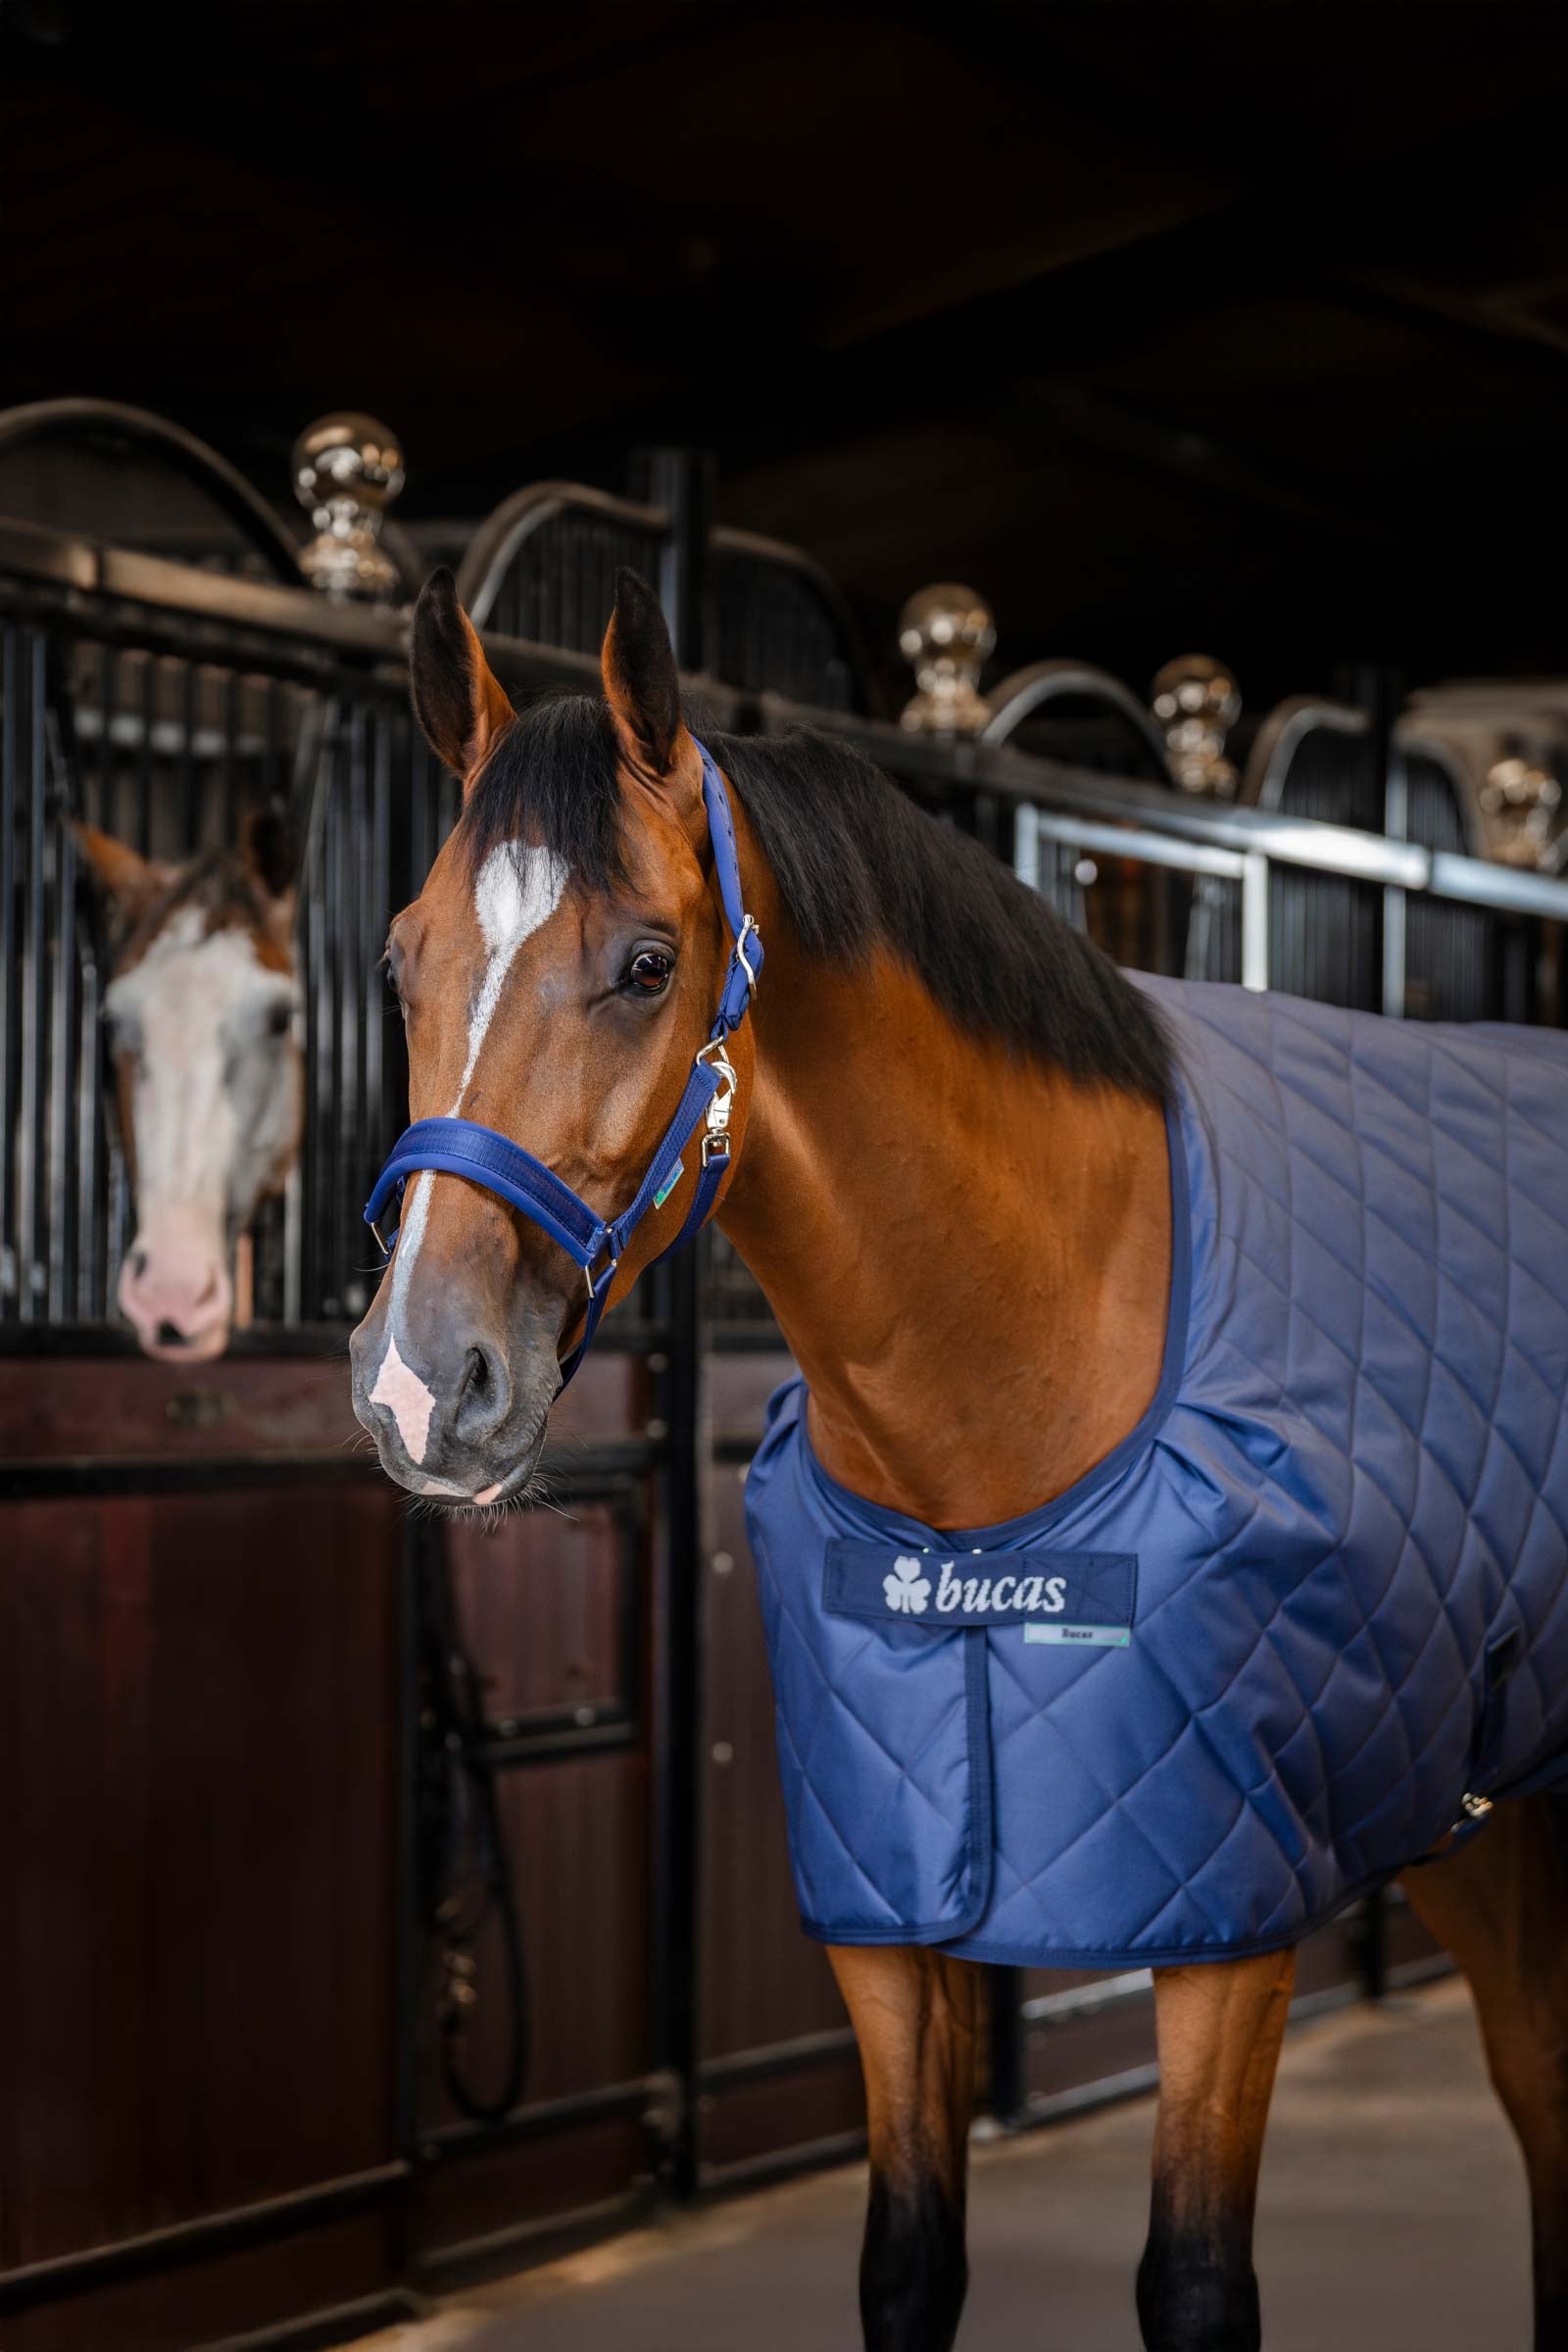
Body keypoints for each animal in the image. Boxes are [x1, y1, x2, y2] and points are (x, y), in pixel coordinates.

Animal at [349, 566, 1568, 2352]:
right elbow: (907, 2258)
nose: (422, 1385)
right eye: (401, 959)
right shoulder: (890, 1912)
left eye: (647, 962)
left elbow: (1196, 2281)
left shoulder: (1224, 1909)